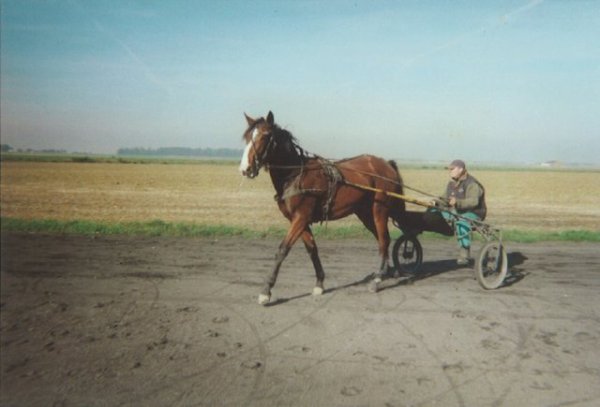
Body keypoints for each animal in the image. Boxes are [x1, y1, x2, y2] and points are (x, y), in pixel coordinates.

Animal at [238, 111, 404, 306]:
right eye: (248, 137)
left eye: (265, 136)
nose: (245, 169)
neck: (295, 174)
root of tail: (386, 164)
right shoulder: (300, 220)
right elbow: (312, 249)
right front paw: (319, 283)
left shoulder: (300, 217)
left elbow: (282, 250)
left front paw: (266, 291)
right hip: (364, 213)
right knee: (381, 240)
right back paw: (385, 271)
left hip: (379, 210)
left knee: (384, 240)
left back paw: (377, 280)